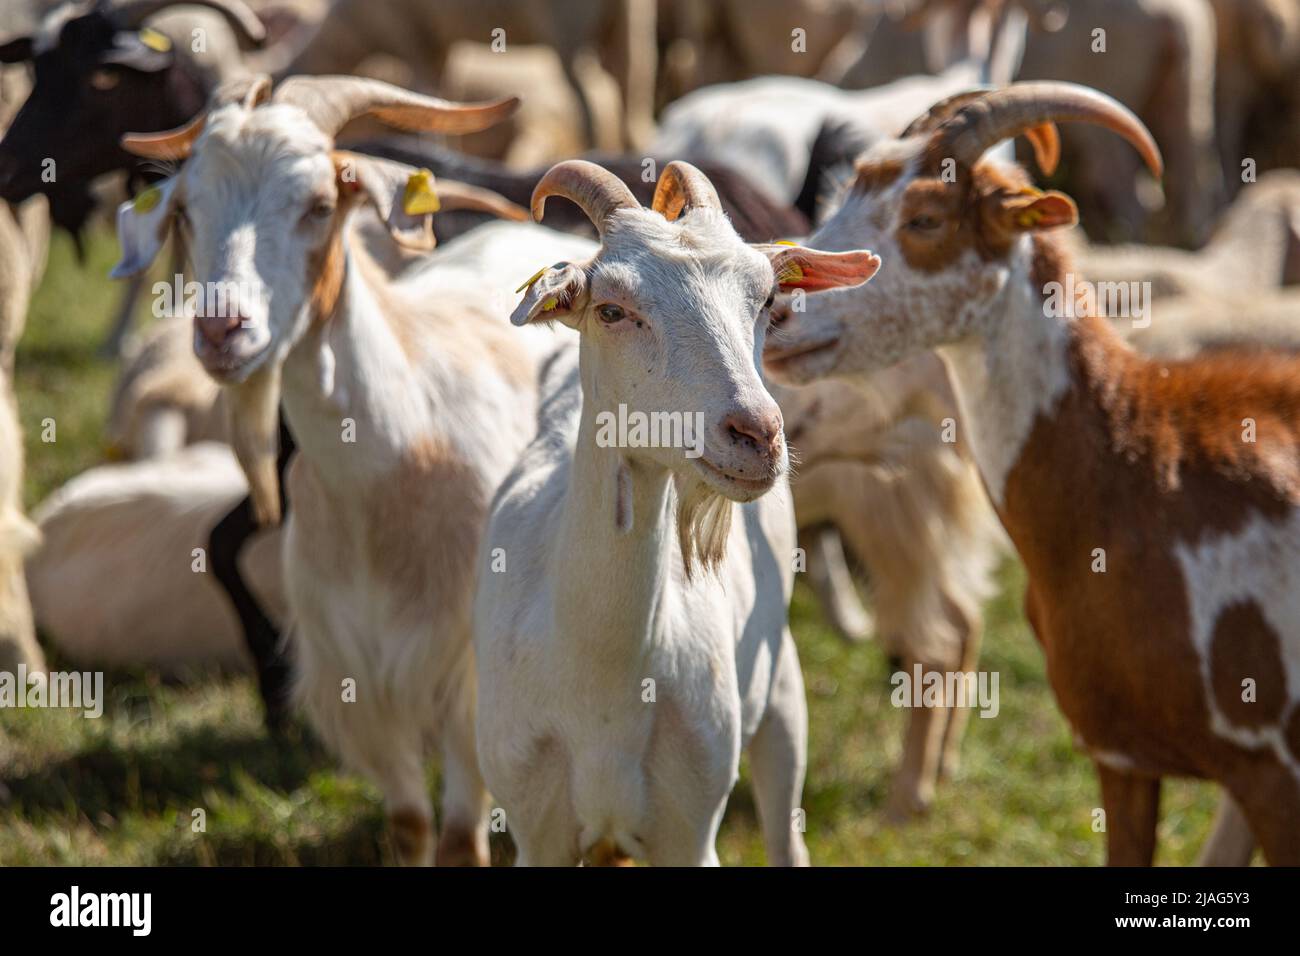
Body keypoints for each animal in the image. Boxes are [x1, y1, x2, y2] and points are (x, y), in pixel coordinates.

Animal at [111, 72, 556, 865]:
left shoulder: (466, 676)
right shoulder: (359, 677)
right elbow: (409, 826)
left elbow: (460, 837)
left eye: (319, 205)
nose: (221, 330)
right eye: (187, 210)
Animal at [474, 159, 879, 865]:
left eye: (766, 302)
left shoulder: (691, 828)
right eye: (611, 309)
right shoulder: (535, 826)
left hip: (780, 689)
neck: (602, 685)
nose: (757, 435)